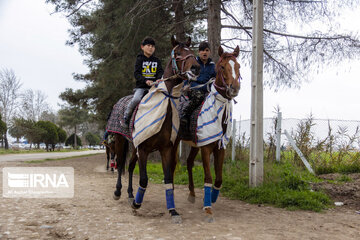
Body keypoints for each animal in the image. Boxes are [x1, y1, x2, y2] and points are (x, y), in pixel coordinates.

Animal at [108, 36, 201, 223]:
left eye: (191, 51)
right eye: (178, 53)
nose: (195, 68)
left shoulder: (165, 149)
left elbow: (167, 178)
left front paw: (173, 211)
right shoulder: (143, 148)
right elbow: (144, 179)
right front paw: (137, 205)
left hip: (133, 146)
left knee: (130, 167)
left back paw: (130, 194)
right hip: (121, 141)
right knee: (121, 165)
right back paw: (118, 192)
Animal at [175, 45, 242, 223]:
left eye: (238, 66)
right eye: (222, 67)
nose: (234, 88)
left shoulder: (220, 148)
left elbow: (218, 179)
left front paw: (211, 198)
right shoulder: (206, 148)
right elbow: (208, 178)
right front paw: (207, 208)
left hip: (194, 145)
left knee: (189, 163)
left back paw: (192, 194)